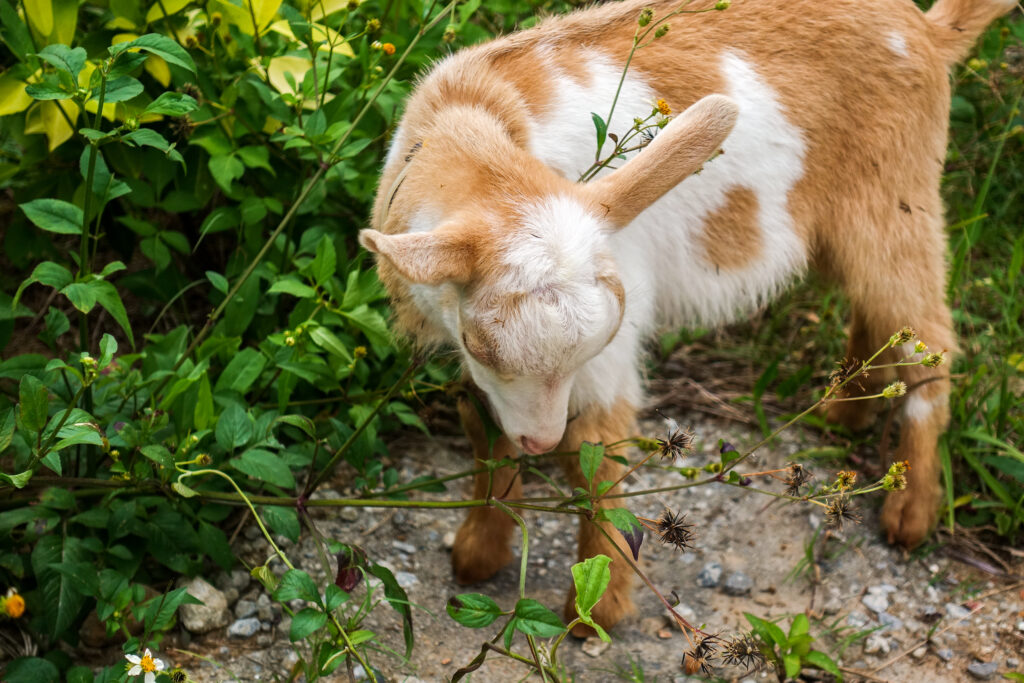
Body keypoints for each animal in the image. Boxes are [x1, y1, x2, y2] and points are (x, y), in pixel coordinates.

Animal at [360, 0, 1015, 634]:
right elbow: (483, 429)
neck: (475, 115)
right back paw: (845, 411)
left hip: (897, 197)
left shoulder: (611, 338)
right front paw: (477, 554)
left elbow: (594, 454)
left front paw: (595, 610)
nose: (539, 438)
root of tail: (926, 32)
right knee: (880, 311)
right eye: (477, 345)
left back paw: (911, 512)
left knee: (926, 331)